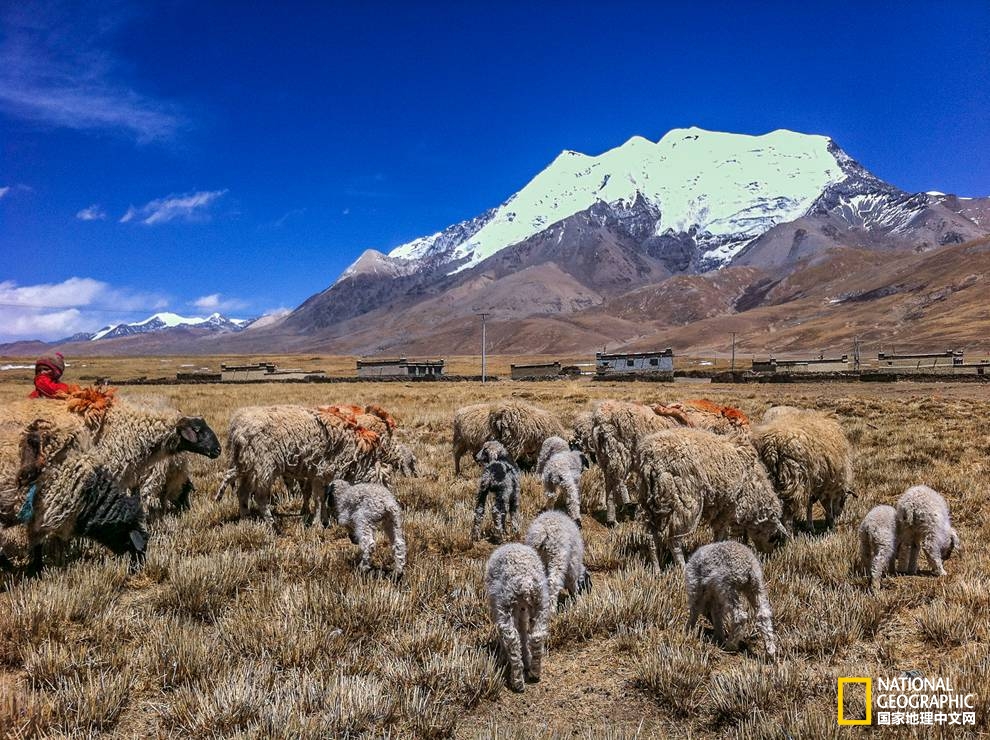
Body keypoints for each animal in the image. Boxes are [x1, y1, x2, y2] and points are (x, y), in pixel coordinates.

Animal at [486, 540, 556, 692]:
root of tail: (525, 582)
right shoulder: (523, 610)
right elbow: (524, 631)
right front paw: (526, 658)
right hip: (540, 603)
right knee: (537, 636)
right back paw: (534, 672)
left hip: (505, 605)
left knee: (512, 640)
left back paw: (517, 681)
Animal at [636, 428, 792, 568]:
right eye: (774, 538)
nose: (769, 556)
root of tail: (650, 458)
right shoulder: (728, 507)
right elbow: (720, 533)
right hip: (683, 501)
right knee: (674, 540)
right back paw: (682, 566)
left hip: (648, 501)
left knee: (650, 537)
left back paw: (656, 568)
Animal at [752, 404, 852, 532]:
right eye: (843, 500)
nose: (838, 515)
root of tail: (771, 448)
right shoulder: (827, 483)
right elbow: (826, 505)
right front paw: (829, 525)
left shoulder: (813, 481)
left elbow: (810, 503)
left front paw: (810, 526)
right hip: (793, 479)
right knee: (788, 512)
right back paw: (788, 534)